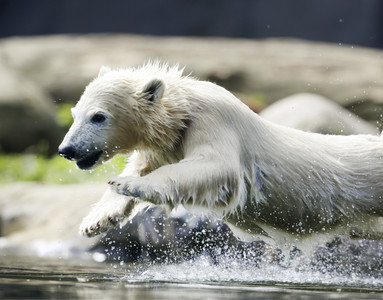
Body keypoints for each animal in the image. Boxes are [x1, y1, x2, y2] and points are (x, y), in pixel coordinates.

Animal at [58, 62, 383, 241]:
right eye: (75, 113)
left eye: (98, 116)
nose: (67, 149)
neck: (183, 109)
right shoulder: (167, 144)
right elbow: (143, 163)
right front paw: (96, 221)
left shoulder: (212, 120)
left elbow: (215, 166)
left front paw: (125, 183)